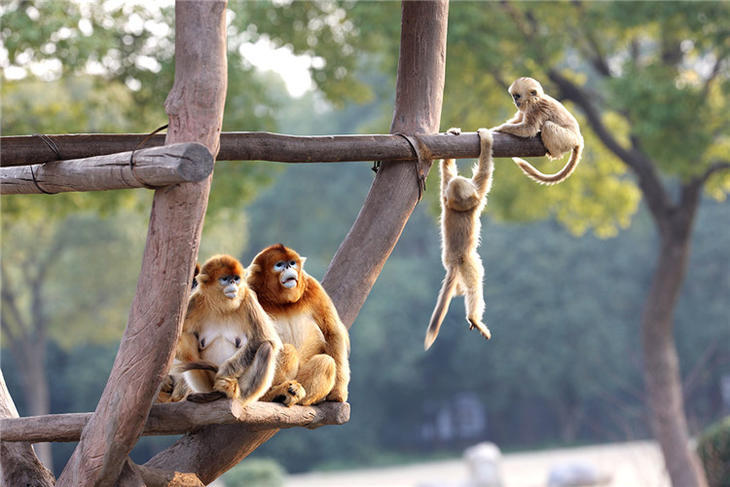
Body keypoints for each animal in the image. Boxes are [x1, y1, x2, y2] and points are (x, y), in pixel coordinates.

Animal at [420, 130, 494, 350]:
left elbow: (446, 175)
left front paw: (452, 135)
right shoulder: (477, 195)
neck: (456, 206)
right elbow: (485, 172)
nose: (474, 195)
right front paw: (486, 139)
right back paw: (474, 317)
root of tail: (454, 261)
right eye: (469, 187)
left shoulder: (446, 196)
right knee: (474, 287)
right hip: (469, 263)